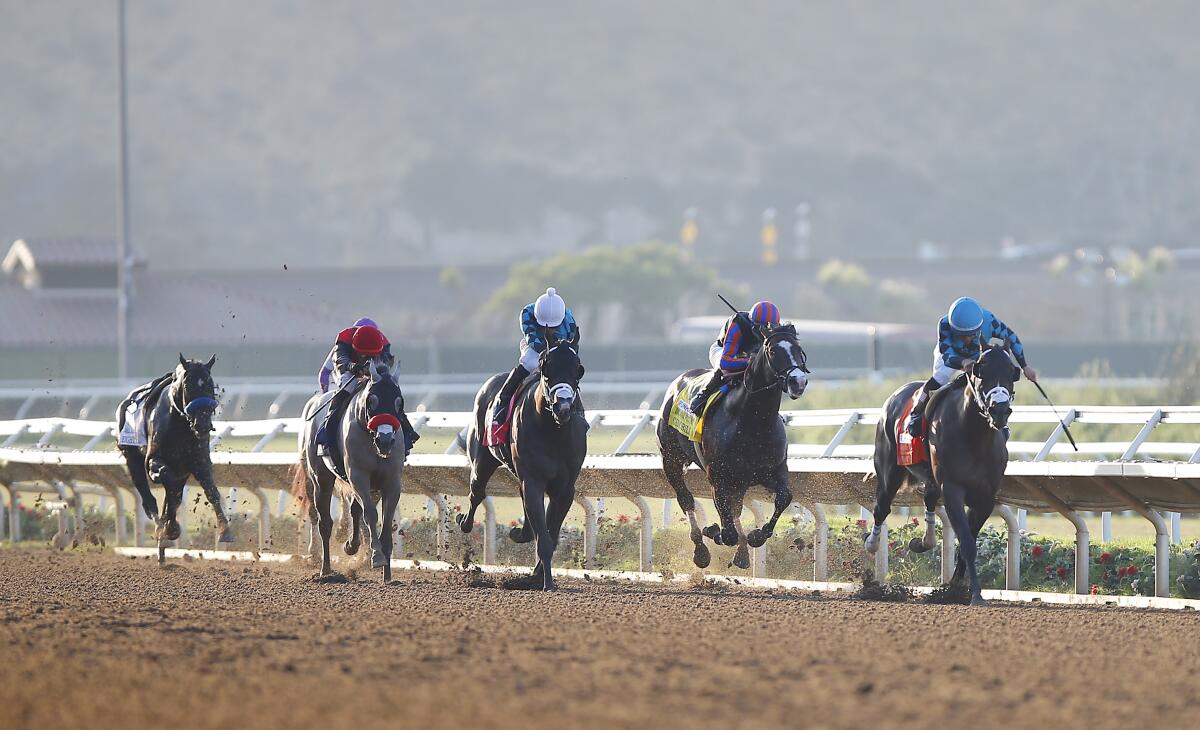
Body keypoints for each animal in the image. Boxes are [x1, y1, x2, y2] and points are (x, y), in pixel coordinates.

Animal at [119, 352, 234, 559]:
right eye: (188, 386)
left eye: (210, 385)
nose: (202, 424)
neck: (179, 423)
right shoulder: (153, 460)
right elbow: (166, 482)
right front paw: (170, 528)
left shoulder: (198, 461)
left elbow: (211, 491)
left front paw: (225, 531)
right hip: (132, 459)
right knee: (149, 499)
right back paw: (161, 530)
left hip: (181, 471)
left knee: (173, 493)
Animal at [300, 360, 408, 581]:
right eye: (371, 401)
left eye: (399, 402)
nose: (385, 441)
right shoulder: (358, 476)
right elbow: (371, 514)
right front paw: (376, 556)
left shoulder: (391, 481)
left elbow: (386, 522)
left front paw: (387, 574)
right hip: (320, 478)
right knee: (325, 522)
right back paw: (326, 570)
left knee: (354, 510)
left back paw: (351, 545)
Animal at [456, 343, 588, 593]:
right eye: (547, 372)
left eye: (578, 371)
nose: (564, 407)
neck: (554, 432)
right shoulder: (533, 481)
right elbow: (544, 539)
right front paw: (547, 583)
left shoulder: (565, 490)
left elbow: (551, 534)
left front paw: (537, 575)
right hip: (482, 461)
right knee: (476, 492)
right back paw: (464, 522)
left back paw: (521, 533)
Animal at [652, 324, 811, 571]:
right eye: (773, 351)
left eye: (798, 349)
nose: (798, 382)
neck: (753, 422)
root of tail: (678, 382)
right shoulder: (718, 478)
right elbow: (727, 531)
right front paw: (713, 531)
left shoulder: (775, 470)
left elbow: (784, 497)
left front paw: (756, 536)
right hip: (671, 460)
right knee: (686, 499)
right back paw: (701, 550)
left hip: (740, 480)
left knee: (735, 509)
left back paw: (742, 552)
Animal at [868, 343, 1017, 605]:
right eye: (982, 372)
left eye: (1011, 371)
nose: (999, 411)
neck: (974, 437)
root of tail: (895, 395)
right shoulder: (952, 489)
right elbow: (967, 542)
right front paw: (975, 594)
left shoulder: (986, 497)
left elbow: (969, 540)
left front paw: (956, 586)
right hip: (889, 473)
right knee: (882, 508)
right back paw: (872, 544)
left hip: (930, 479)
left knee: (928, 499)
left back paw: (923, 542)